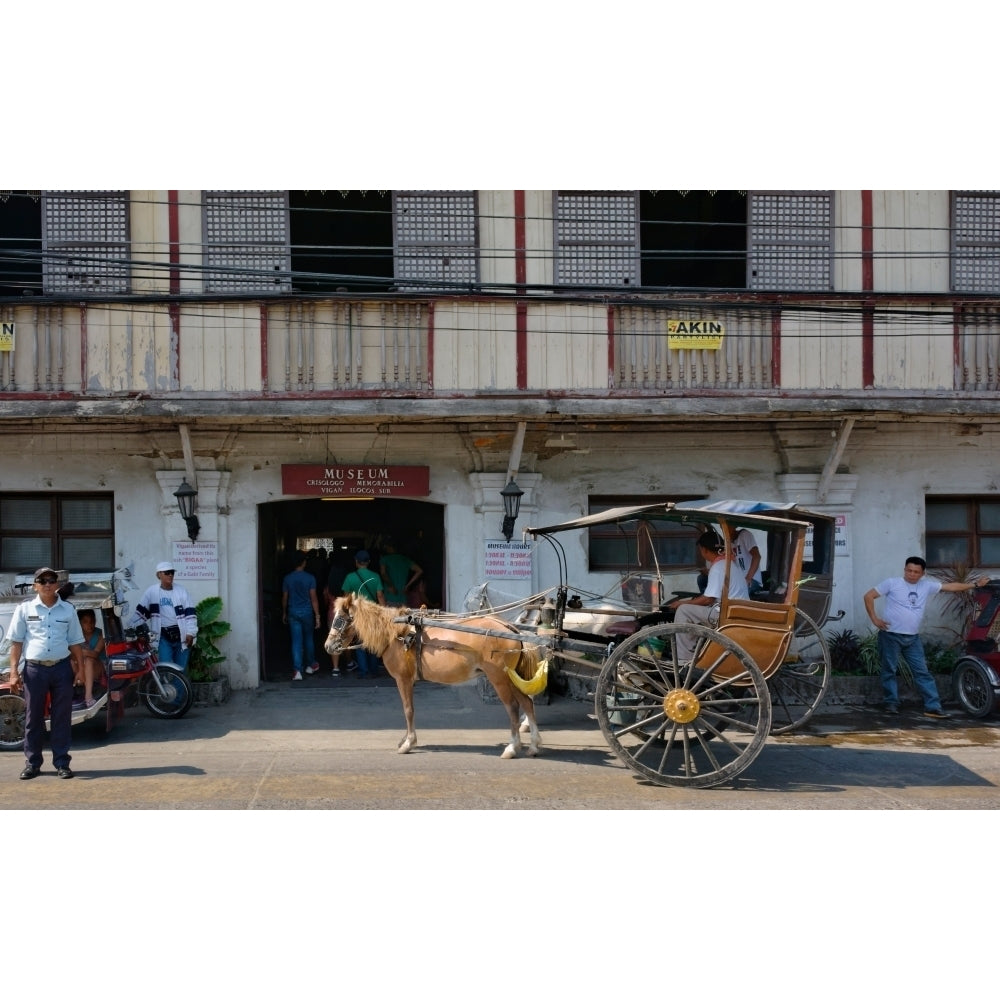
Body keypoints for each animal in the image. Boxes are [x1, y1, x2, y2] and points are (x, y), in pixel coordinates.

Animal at [324, 592, 544, 756]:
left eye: (340, 620)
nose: (328, 646)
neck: (397, 634)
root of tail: (510, 628)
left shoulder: (403, 679)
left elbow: (408, 710)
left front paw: (409, 743)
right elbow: (409, 709)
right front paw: (405, 739)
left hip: (499, 678)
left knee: (513, 707)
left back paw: (512, 747)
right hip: (511, 677)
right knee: (527, 703)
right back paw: (533, 745)